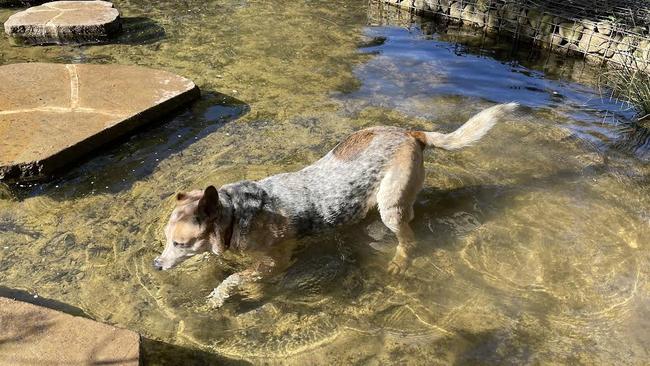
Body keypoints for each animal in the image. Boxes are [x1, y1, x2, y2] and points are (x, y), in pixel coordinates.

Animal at [152, 101, 516, 308]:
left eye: (180, 243)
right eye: (166, 240)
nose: (156, 265)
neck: (237, 214)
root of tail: (413, 133)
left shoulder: (274, 262)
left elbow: (233, 279)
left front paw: (218, 297)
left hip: (390, 207)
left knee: (409, 238)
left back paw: (399, 262)